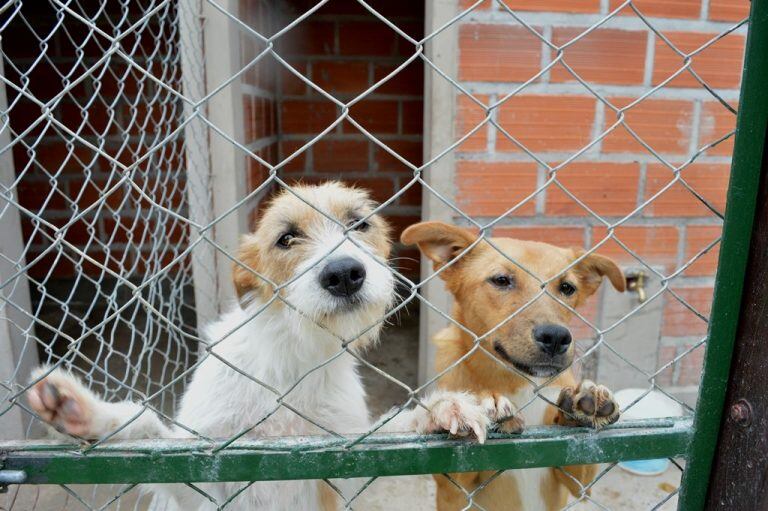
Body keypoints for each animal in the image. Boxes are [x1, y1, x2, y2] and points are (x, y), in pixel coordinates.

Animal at [30, 185, 488, 511]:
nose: (344, 273)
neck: (293, 360)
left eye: (359, 224)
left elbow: (387, 434)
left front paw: (440, 410)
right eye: (285, 238)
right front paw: (84, 412)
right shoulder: (199, 475)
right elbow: (148, 431)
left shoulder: (343, 468)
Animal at [402, 222, 624, 511]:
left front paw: (586, 405)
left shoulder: (579, 481)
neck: (517, 382)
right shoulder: (454, 489)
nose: (556, 337)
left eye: (567, 287)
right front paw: (471, 406)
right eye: (501, 280)